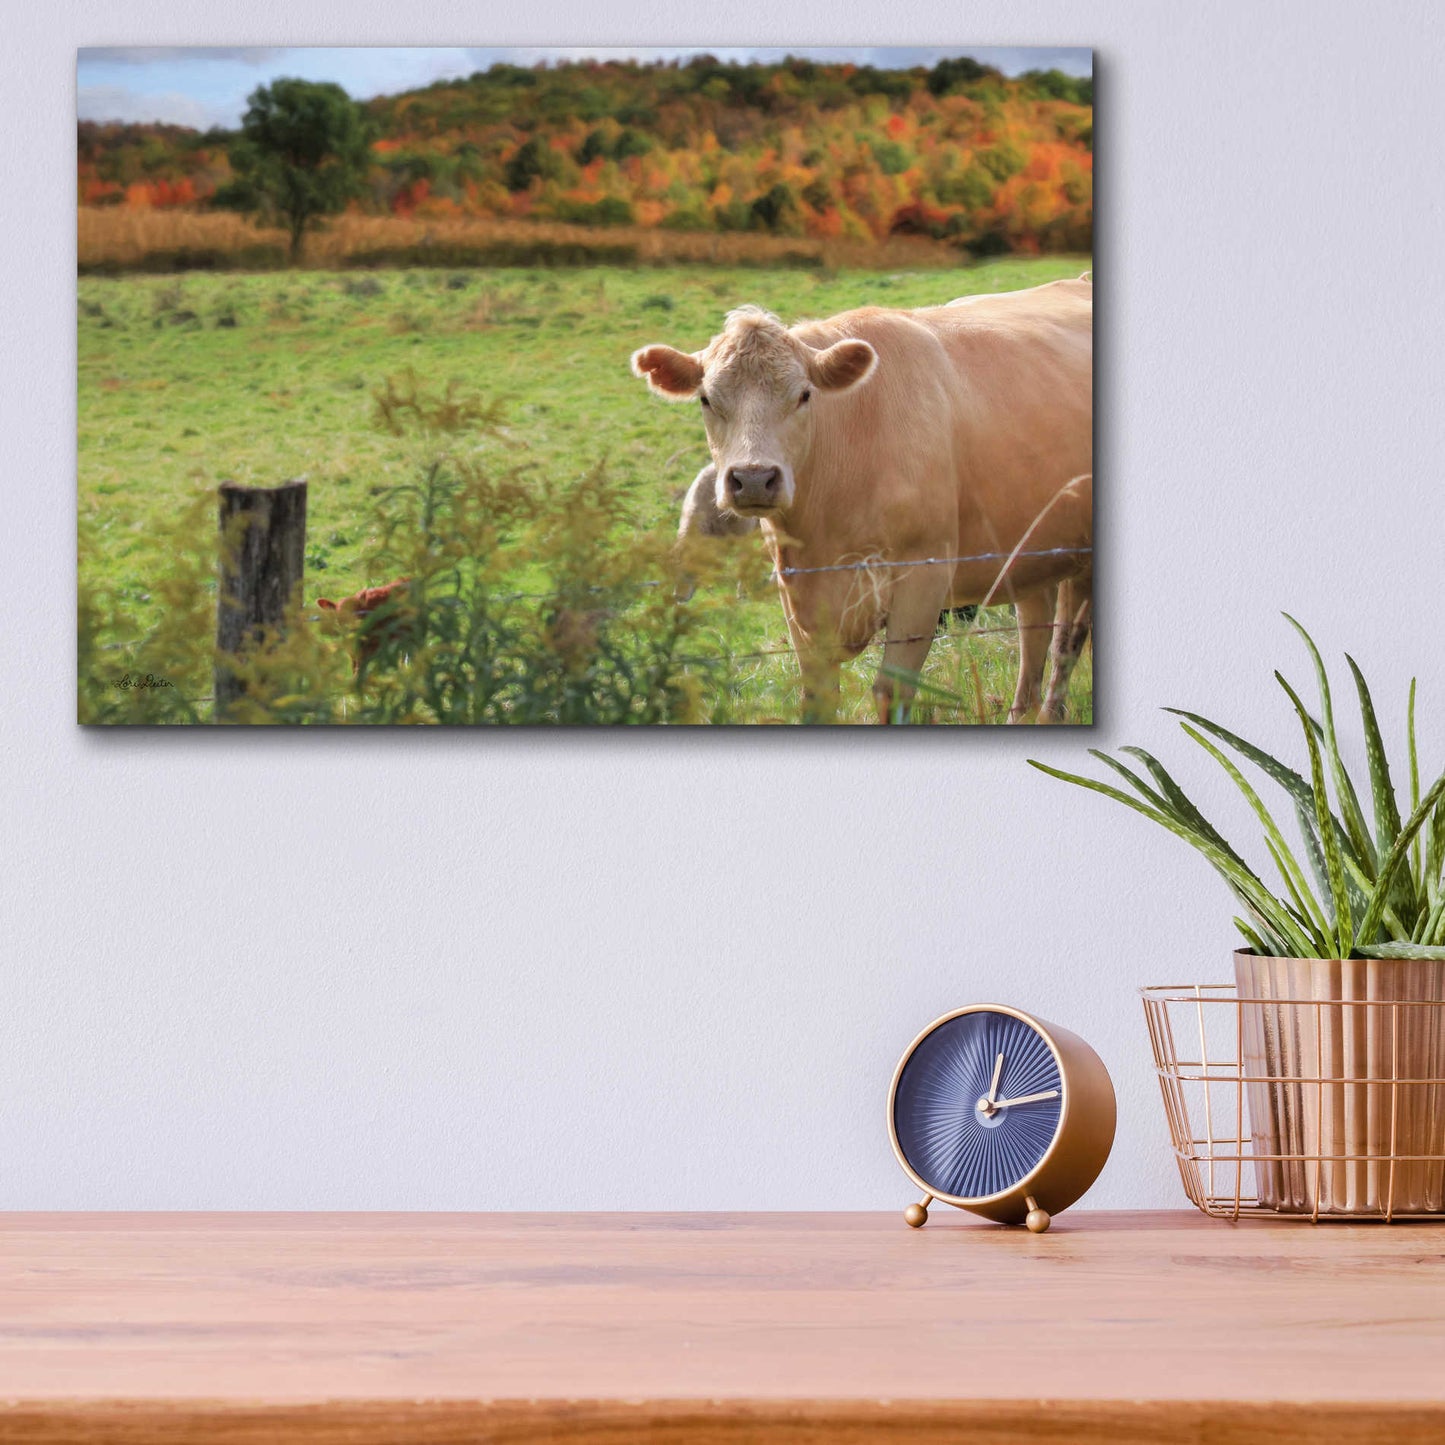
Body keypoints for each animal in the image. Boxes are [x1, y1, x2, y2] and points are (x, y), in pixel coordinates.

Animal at [634, 278, 1092, 722]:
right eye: (706, 399)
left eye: (804, 395)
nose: (753, 479)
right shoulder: (796, 594)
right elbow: (818, 698)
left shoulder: (924, 579)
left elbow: (892, 693)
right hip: (1029, 552)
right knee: (1034, 631)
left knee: (1066, 642)